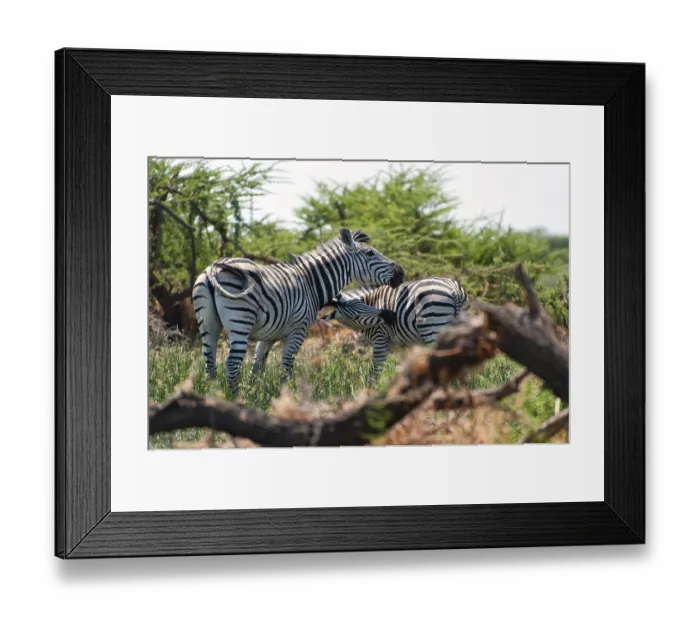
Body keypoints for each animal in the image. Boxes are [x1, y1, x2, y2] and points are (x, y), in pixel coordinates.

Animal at [191, 227, 405, 396]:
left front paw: (254, 394)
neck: (311, 284)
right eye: (370, 253)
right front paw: (281, 398)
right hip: (240, 320)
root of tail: (212, 269)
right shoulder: (298, 331)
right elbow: (286, 368)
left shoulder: (269, 336)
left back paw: (214, 399)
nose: (401, 273)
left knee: (210, 364)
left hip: (208, 324)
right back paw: (236, 400)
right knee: (232, 364)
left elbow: (257, 367)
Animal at [321, 277, 469, 385]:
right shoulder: (403, 344)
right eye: (355, 316)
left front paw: (371, 391)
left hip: (434, 327)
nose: (391, 316)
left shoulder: (380, 338)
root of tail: (453, 288)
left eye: (364, 305)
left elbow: (375, 370)